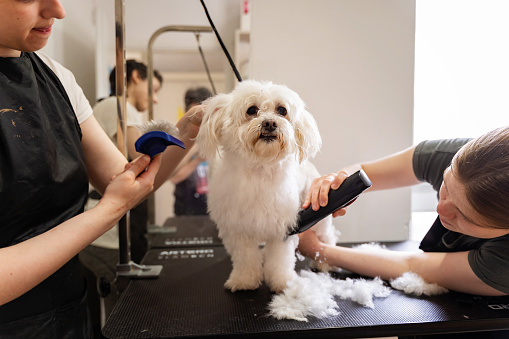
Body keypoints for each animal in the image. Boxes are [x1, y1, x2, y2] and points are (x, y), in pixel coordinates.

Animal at [196, 81, 336, 294]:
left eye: (282, 110)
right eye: (251, 110)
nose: (270, 123)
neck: (259, 171)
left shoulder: (283, 230)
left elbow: (280, 261)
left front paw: (282, 282)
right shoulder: (237, 230)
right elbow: (245, 258)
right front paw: (244, 280)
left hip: (319, 211)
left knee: (327, 237)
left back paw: (325, 263)